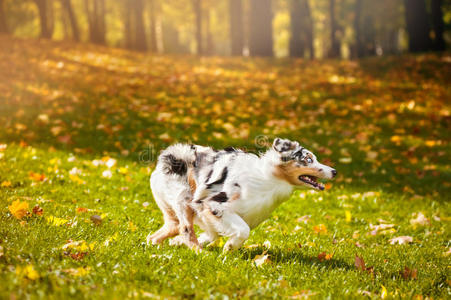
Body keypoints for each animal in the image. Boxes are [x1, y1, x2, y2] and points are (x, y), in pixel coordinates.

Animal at [147, 139, 338, 252]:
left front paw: (177, 242)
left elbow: (212, 234)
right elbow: (243, 230)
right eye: (308, 160)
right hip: (184, 199)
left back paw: (155, 243)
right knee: (186, 228)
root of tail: (167, 157)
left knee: (168, 229)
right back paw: (200, 253)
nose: (334, 171)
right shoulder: (212, 204)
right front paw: (230, 247)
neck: (269, 179)